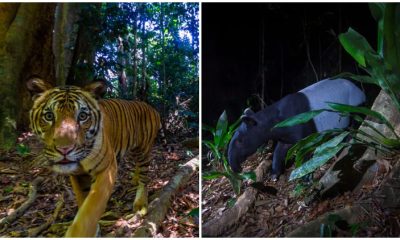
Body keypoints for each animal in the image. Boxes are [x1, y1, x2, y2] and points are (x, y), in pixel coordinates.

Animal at [25, 78, 161, 237]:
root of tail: (151, 107)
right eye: (49, 116)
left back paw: (140, 204)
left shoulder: (107, 169)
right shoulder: (77, 175)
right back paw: (134, 179)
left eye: (82, 116)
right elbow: (82, 200)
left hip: (143, 150)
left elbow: (91, 208)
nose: (64, 149)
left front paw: (79, 233)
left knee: (144, 178)